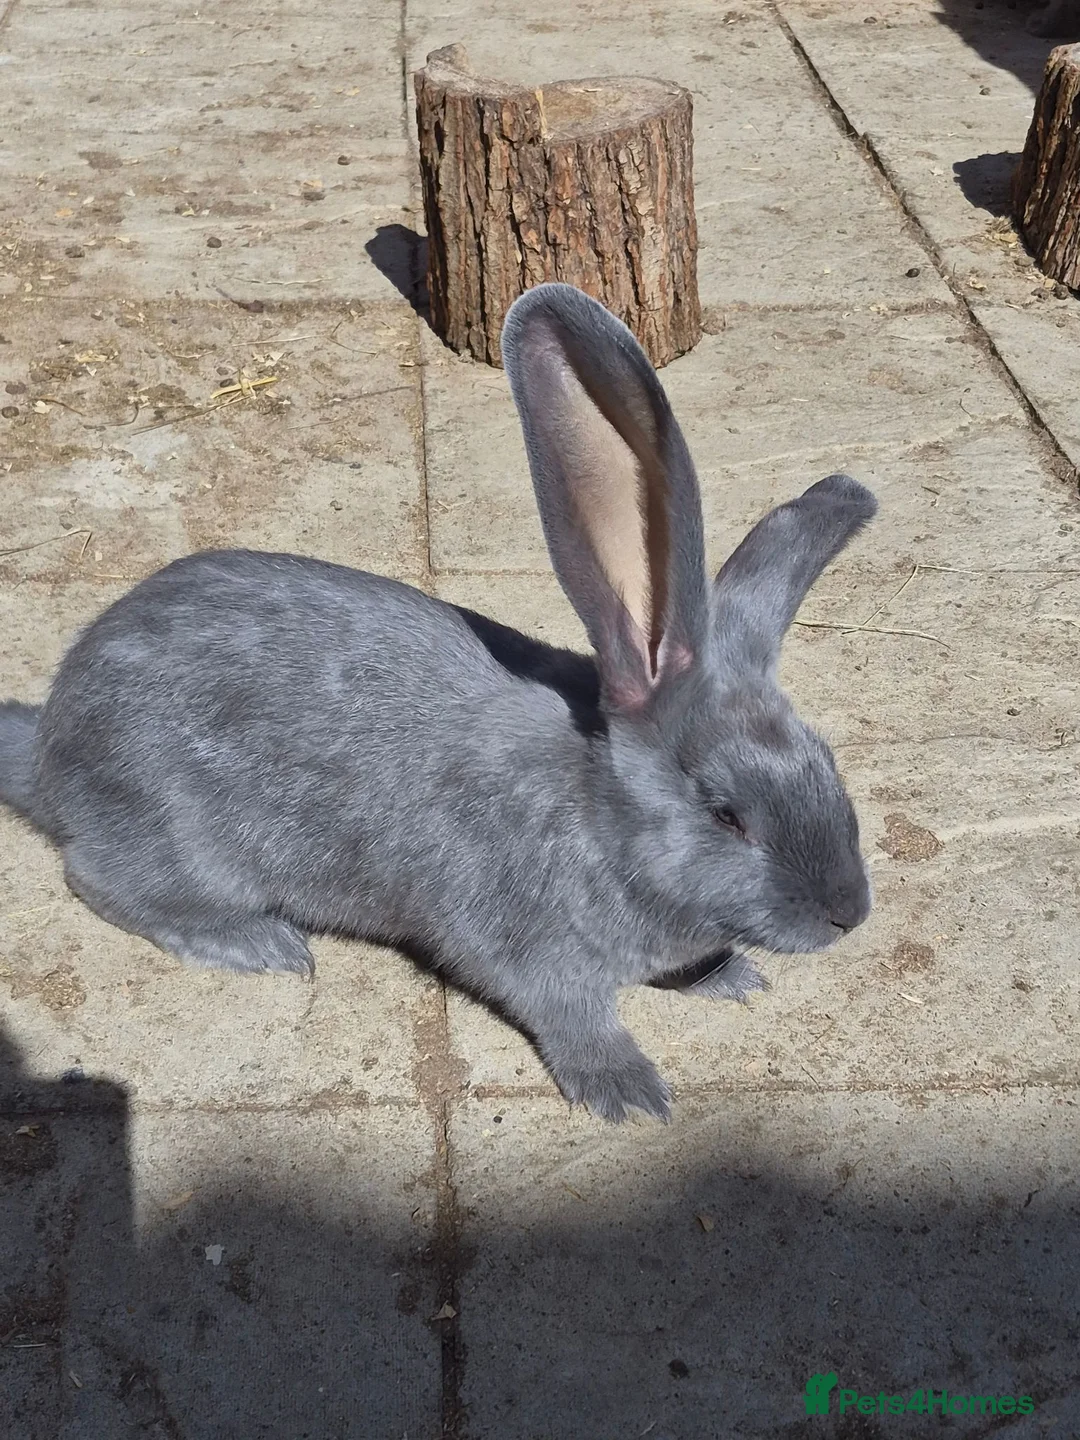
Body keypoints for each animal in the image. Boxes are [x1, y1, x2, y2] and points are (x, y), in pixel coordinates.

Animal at [0, 283, 876, 1123]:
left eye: (828, 766)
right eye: (726, 814)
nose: (850, 914)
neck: (599, 813)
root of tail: (46, 748)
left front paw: (729, 977)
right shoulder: (531, 951)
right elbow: (576, 1019)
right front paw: (629, 1092)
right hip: (173, 835)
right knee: (97, 878)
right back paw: (258, 943)